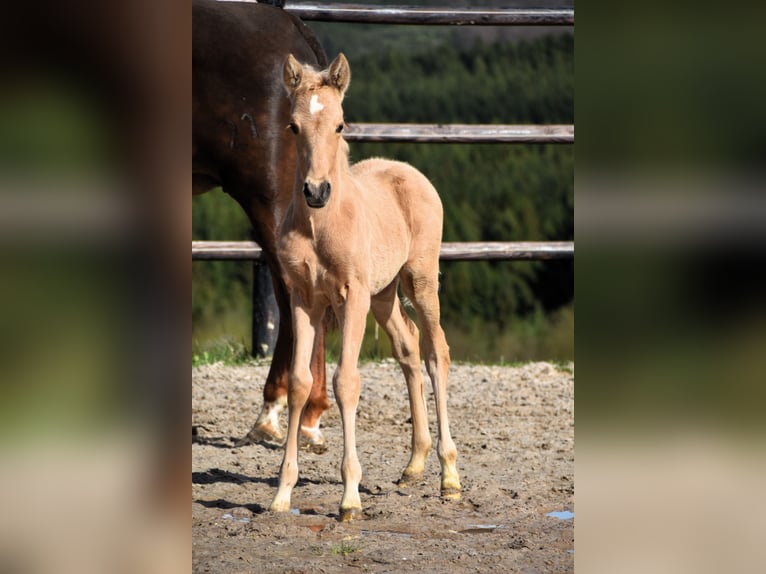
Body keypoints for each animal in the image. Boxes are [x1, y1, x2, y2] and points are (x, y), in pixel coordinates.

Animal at [272, 53, 462, 520]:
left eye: (340, 124)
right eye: (293, 126)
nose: (316, 191)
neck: (320, 226)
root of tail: (409, 171)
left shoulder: (351, 297)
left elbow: (346, 382)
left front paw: (350, 498)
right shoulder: (304, 299)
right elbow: (300, 382)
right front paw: (282, 493)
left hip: (419, 281)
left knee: (436, 352)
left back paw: (449, 477)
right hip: (384, 294)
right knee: (408, 349)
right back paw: (414, 465)